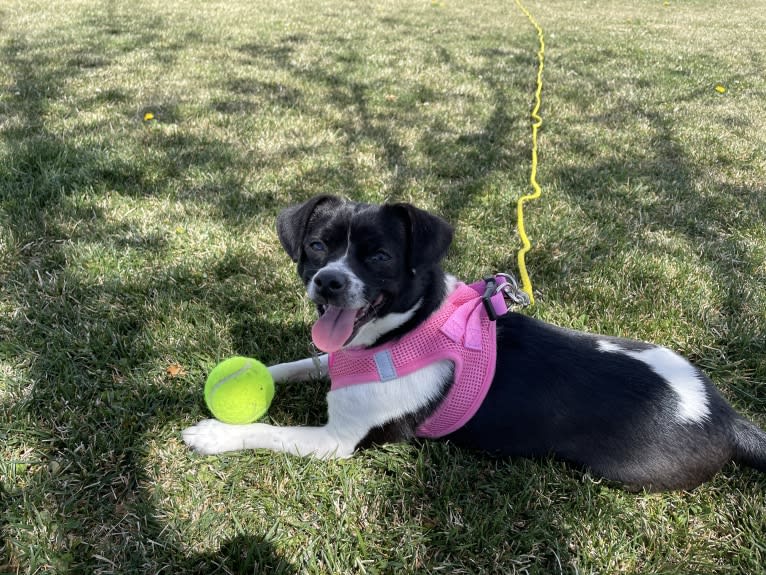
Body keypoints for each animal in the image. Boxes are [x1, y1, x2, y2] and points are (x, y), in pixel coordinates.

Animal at [184, 196, 766, 492]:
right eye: (317, 246)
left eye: (379, 258)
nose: (327, 281)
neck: (403, 331)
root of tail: (725, 417)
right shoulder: (334, 358)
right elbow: (299, 362)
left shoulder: (337, 441)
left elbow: (269, 431)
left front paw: (215, 433)